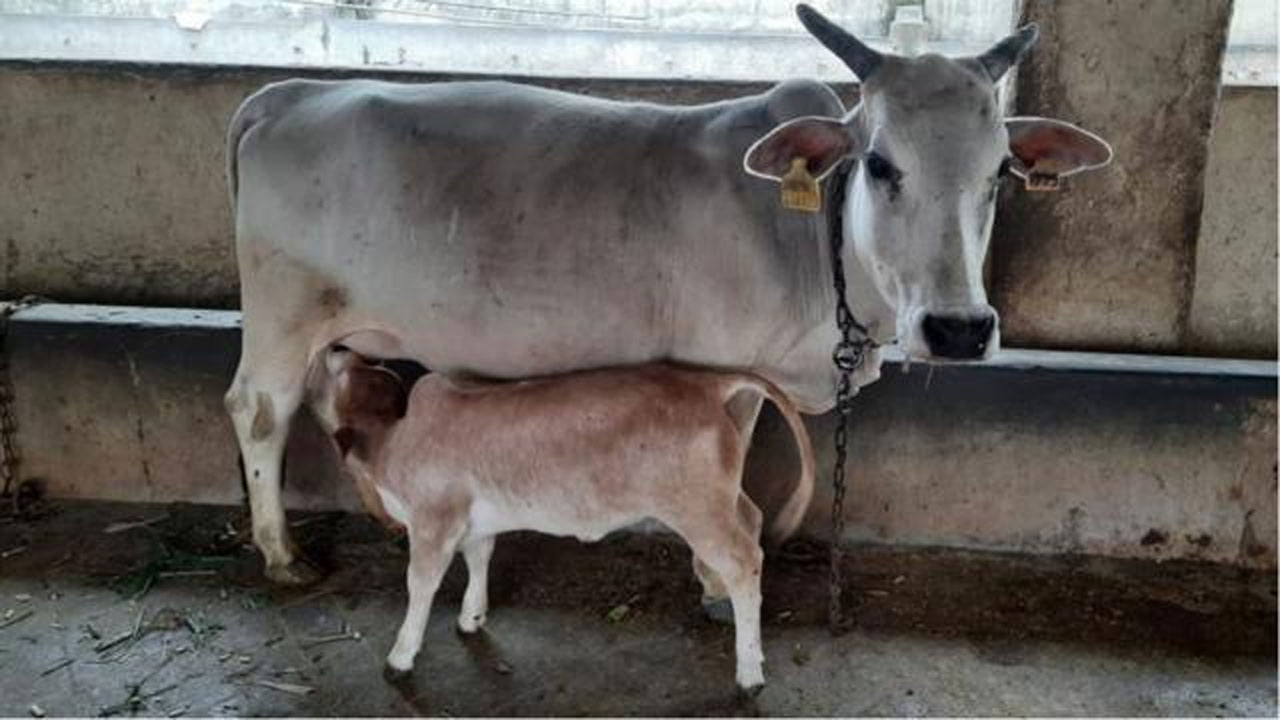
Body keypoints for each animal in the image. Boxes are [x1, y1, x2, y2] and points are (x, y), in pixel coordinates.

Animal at [224, 3, 1113, 584]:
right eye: (880, 164)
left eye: (999, 172)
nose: (959, 328)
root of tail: (287, 93)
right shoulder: (726, 372)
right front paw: (717, 581)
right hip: (281, 316)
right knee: (261, 410)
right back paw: (281, 553)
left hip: (335, 324)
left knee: (327, 397)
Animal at [308, 347, 815, 691]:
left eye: (331, 374)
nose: (335, 346)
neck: (395, 439)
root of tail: (707, 384)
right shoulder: (475, 519)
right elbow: (479, 557)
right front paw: (472, 617)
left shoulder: (434, 518)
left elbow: (420, 583)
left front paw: (400, 656)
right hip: (721, 498)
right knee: (753, 519)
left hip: (698, 508)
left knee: (744, 561)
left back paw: (749, 670)